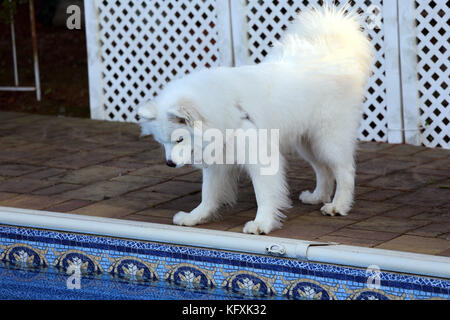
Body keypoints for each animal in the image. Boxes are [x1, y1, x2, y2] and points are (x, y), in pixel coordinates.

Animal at [137, 5, 372, 235]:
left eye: (179, 139)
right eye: (162, 143)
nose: (169, 164)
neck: (226, 111)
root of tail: (333, 49)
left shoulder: (260, 158)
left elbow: (264, 194)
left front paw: (262, 224)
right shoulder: (218, 162)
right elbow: (208, 194)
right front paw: (195, 217)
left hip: (328, 140)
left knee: (345, 171)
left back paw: (338, 206)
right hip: (307, 143)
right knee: (323, 170)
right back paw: (317, 197)